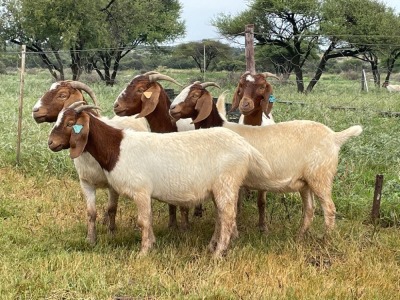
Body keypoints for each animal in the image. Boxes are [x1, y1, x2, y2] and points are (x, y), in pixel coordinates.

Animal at [169, 83, 362, 238]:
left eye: (195, 95)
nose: (172, 109)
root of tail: (335, 137)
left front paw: (234, 234)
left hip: (321, 176)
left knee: (329, 208)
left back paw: (325, 238)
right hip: (306, 181)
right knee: (309, 209)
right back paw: (300, 236)